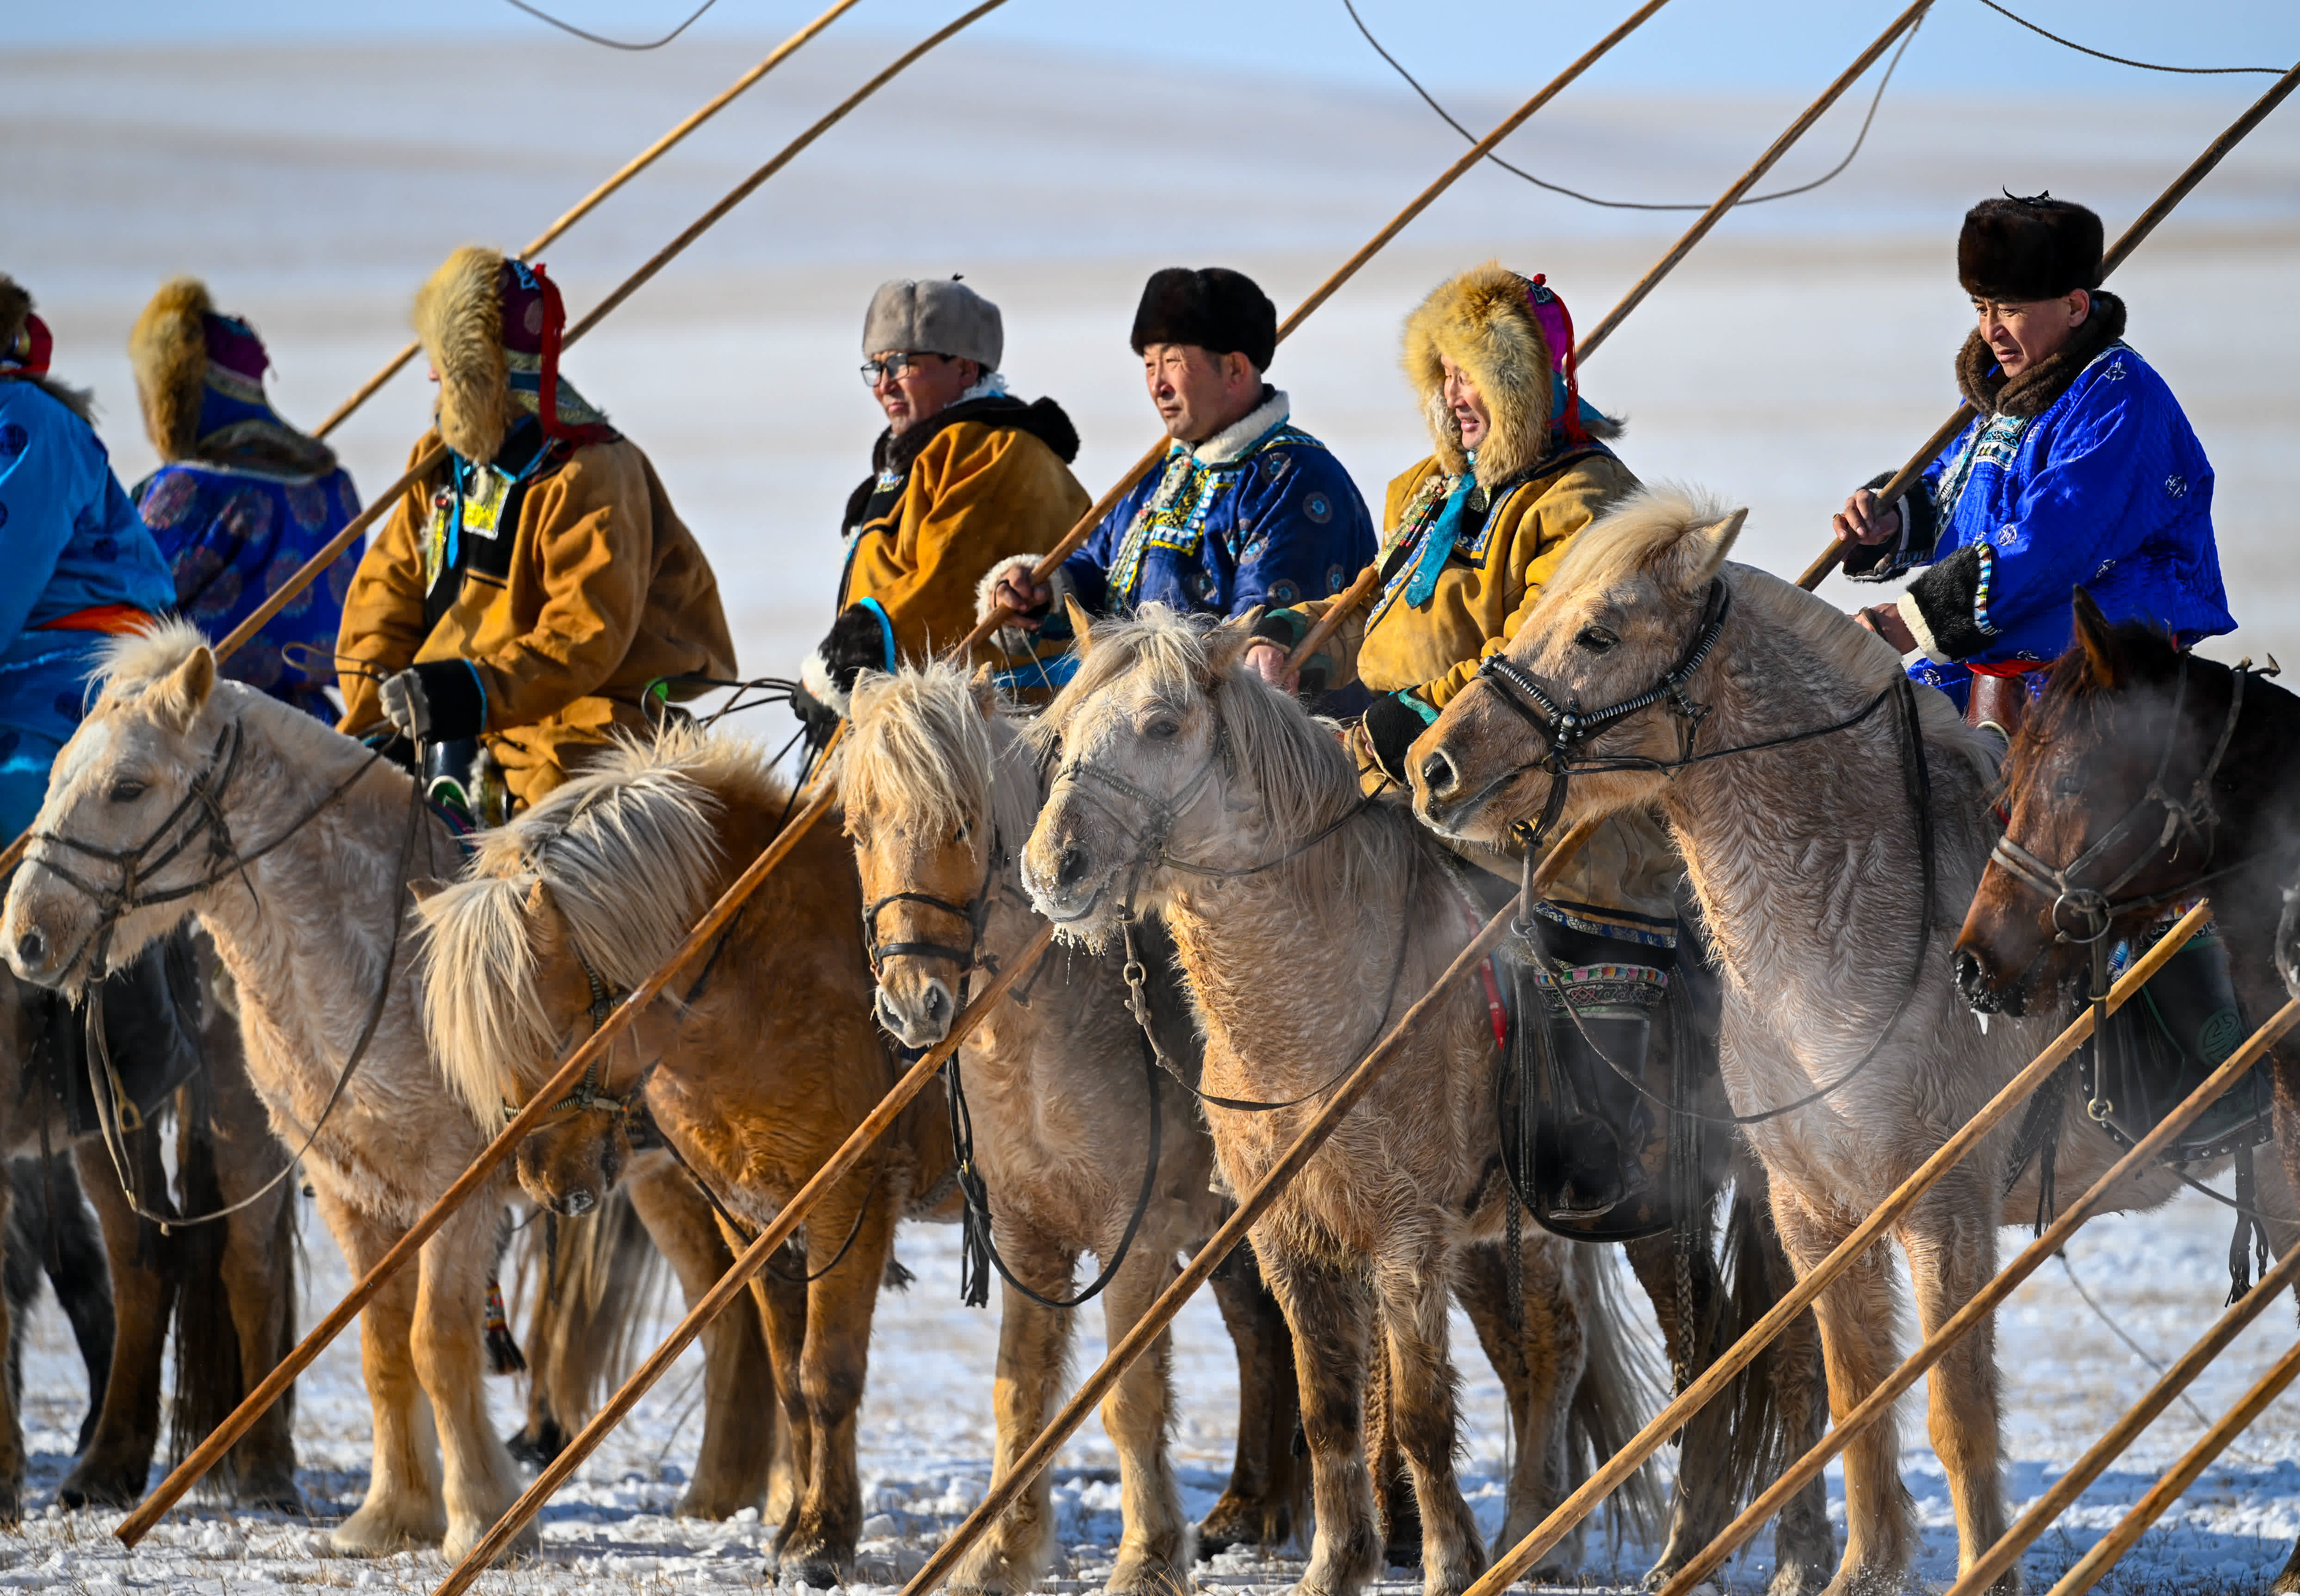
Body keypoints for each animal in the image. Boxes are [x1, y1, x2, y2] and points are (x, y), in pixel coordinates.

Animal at [0, 625, 526, 1564]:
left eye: (127, 786)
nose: (25, 936)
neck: (389, 938)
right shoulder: (355, 1188)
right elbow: (383, 1346)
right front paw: (392, 1515)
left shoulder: (461, 1183)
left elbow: (437, 1340)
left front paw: (480, 1520)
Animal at [418, 731, 947, 1591]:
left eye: (550, 1033)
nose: (546, 1183)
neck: (770, 964)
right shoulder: (754, 1218)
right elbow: (788, 1378)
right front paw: (794, 1529)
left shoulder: (848, 1204)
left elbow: (828, 1374)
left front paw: (823, 1541)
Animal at [846, 657, 1315, 1591]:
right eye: (857, 830)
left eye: (960, 824)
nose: (914, 1005)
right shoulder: (1030, 1238)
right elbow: (1019, 1392)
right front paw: (1000, 1550)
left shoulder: (1134, 1239)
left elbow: (1130, 1397)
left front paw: (1147, 1556)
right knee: (1266, 1338)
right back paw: (1257, 1509)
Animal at [1016, 612, 1766, 1596]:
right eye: (1062, 730)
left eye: (1162, 724)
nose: (1052, 868)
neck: (1318, 997)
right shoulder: (1287, 1237)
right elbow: (1329, 1408)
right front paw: (1338, 1564)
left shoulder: (1405, 1236)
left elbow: (1415, 1412)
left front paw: (1446, 1564)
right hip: (1520, 1236)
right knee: (1552, 1351)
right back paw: (1536, 1538)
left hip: (1657, 1211)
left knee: (1710, 1349)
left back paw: (1697, 1544)